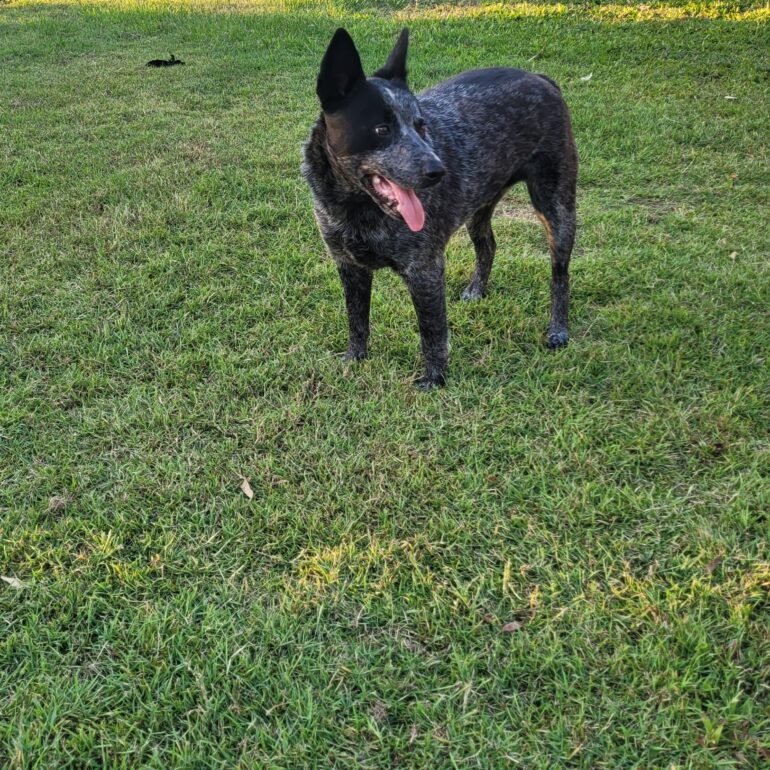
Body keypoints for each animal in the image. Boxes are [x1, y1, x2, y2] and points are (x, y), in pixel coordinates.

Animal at [300, 27, 576, 388]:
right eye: (381, 129)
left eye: (421, 125)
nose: (438, 170)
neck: (354, 205)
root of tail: (541, 78)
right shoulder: (349, 266)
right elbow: (356, 320)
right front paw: (355, 359)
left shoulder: (425, 270)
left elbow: (432, 331)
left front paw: (434, 379)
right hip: (480, 204)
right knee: (488, 245)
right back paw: (476, 290)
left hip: (556, 206)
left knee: (560, 273)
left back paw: (558, 329)